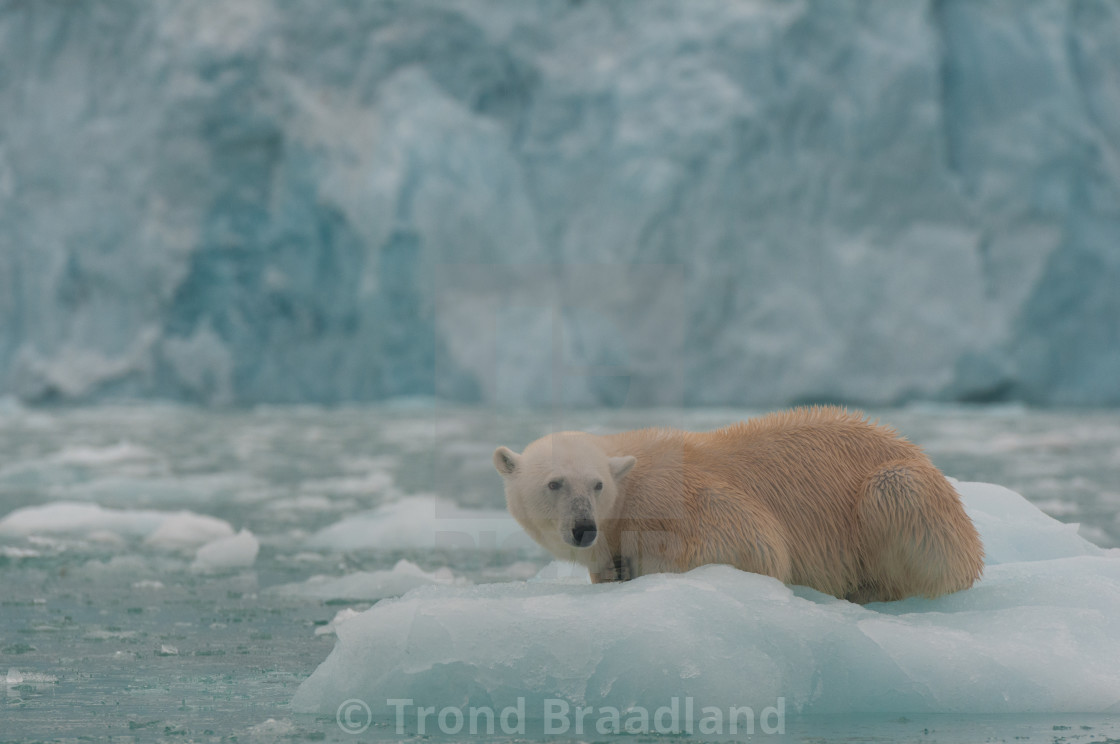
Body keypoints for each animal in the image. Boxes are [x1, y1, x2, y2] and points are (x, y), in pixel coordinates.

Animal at [495, 407, 985, 605]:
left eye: (596, 484)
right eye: (554, 483)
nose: (584, 528)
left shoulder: (672, 493)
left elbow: (753, 544)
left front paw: (635, 566)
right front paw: (609, 571)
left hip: (906, 494)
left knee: (897, 499)